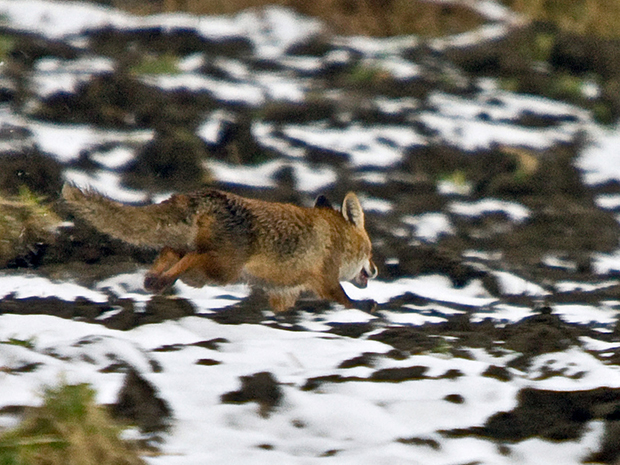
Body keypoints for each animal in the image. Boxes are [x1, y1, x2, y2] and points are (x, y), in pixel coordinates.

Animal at [61, 184, 378, 312]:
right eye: (371, 252)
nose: (375, 270)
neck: (336, 237)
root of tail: (205, 195)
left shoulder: (283, 293)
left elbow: (282, 308)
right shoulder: (326, 281)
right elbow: (347, 300)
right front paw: (367, 309)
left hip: (207, 264)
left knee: (171, 252)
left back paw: (153, 280)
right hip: (222, 271)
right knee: (189, 258)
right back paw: (161, 281)